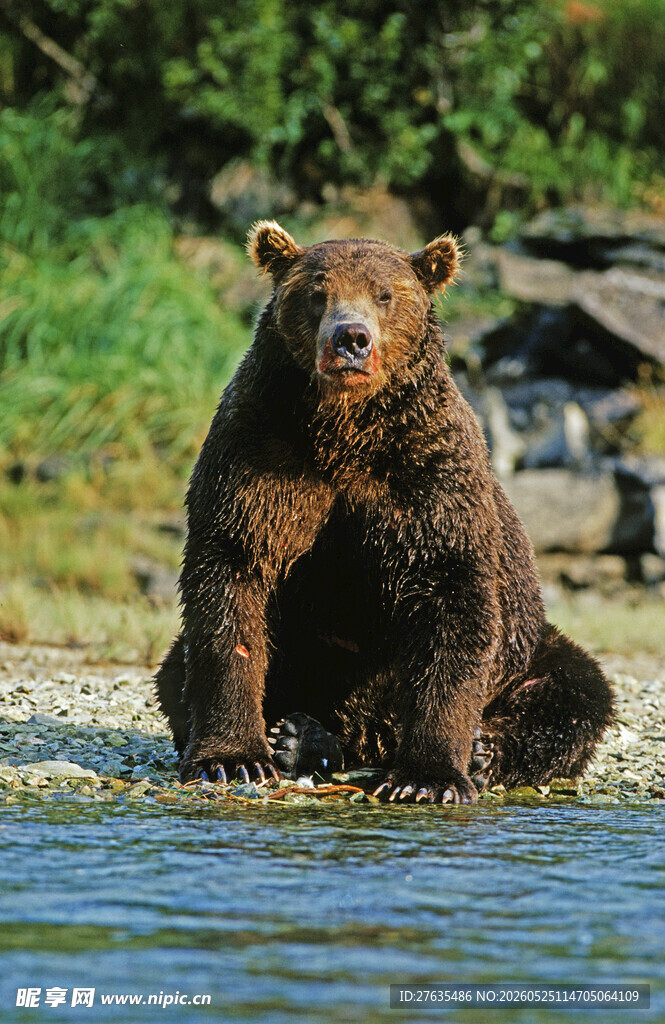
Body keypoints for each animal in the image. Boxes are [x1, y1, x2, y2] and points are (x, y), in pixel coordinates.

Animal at [155, 220, 614, 803]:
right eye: (317, 292)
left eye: (385, 295)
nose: (351, 339)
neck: (343, 433)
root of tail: (371, 739)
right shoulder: (260, 454)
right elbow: (231, 578)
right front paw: (232, 759)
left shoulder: (428, 474)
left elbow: (451, 598)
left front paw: (428, 777)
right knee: (177, 668)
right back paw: (301, 738)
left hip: (529, 648)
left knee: (576, 693)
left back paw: (481, 753)